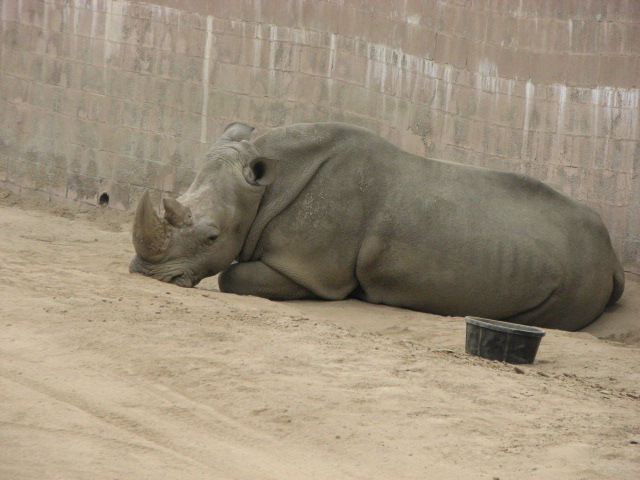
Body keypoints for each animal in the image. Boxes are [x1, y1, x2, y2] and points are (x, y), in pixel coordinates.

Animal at [130, 122, 625, 331]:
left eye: (212, 236)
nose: (144, 274)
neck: (265, 185)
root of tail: (612, 252)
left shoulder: (309, 269)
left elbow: (232, 276)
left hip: (579, 277)